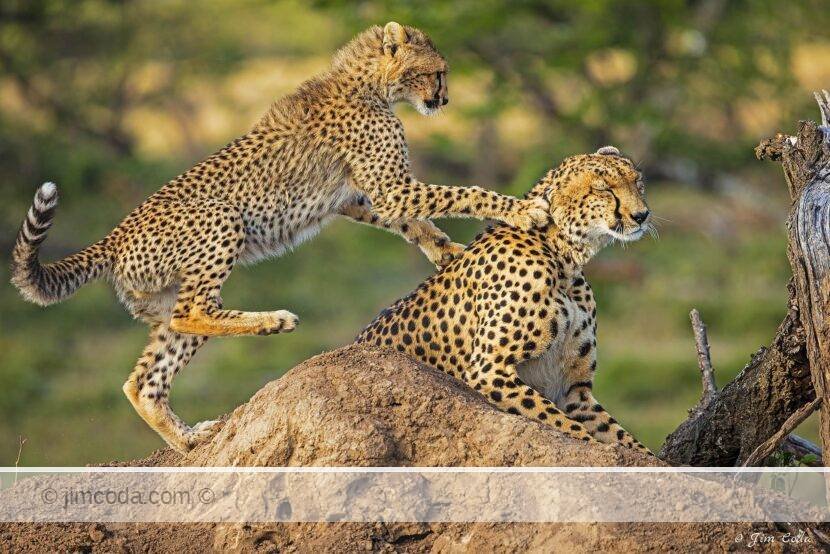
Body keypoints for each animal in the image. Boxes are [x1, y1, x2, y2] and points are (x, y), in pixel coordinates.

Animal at [10, 22, 548, 453]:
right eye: (439, 72)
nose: (445, 100)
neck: (368, 83)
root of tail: (114, 236)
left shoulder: (357, 196)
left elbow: (414, 222)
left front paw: (448, 252)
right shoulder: (389, 188)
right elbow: (461, 193)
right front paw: (522, 211)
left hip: (163, 303)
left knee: (145, 378)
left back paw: (190, 440)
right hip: (221, 223)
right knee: (194, 311)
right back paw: (273, 321)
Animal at [356, 146, 652, 454]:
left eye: (638, 183)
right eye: (604, 188)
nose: (642, 215)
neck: (562, 257)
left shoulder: (574, 389)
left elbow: (624, 440)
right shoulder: (488, 370)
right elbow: (567, 427)